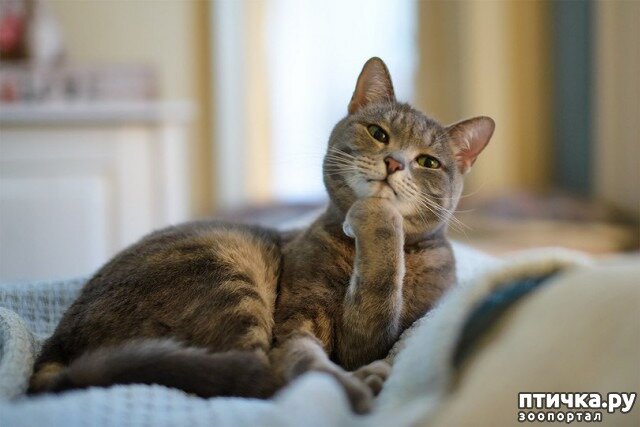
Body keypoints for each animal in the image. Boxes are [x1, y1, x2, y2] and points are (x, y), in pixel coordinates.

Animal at [28, 57, 494, 413]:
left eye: (429, 162)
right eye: (379, 133)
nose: (395, 162)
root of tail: (55, 345)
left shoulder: (378, 332)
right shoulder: (300, 319)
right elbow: (304, 356)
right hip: (226, 275)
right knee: (260, 375)